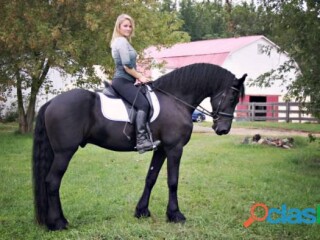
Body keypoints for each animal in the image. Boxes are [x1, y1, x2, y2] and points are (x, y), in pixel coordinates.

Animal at [32, 63, 246, 231]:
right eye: (232, 99)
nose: (223, 129)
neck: (175, 99)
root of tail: (51, 102)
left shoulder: (161, 149)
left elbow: (151, 178)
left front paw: (142, 211)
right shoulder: (174, 148)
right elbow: (173, 181)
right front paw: (175, 214)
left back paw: (56, 221)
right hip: (64, 153)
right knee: (52, 181)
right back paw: (59, 223)